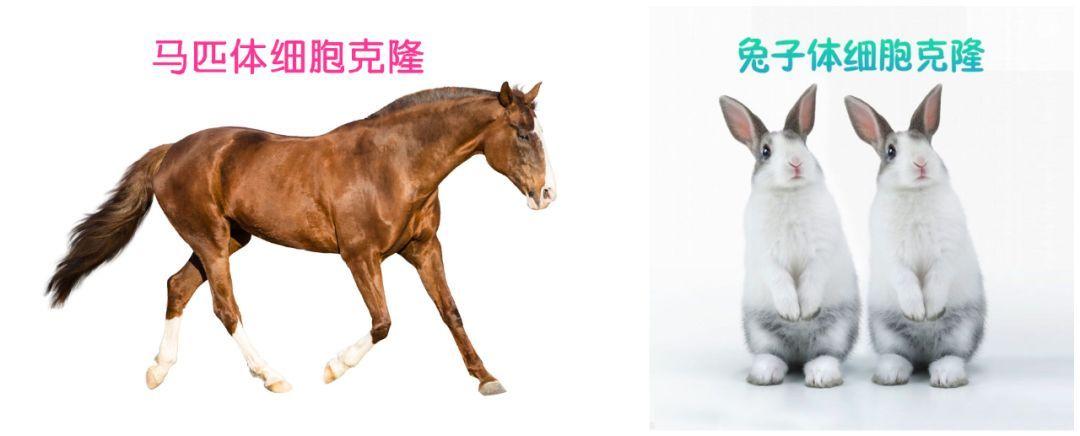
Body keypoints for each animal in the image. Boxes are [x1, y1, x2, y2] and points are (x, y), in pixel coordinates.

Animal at [46, 82, 554, 395]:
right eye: (521, 133)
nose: (545, 195)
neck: (395, 164)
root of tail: (171, 150)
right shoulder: (360, 255)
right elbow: (383, 322)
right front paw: (333, 368)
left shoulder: (424, 248)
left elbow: (450, 312)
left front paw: (486, 378)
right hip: (211, 240)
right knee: (224, 307)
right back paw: (271, 376)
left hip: (229, 239)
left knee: (177, 286)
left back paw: (157, 371)